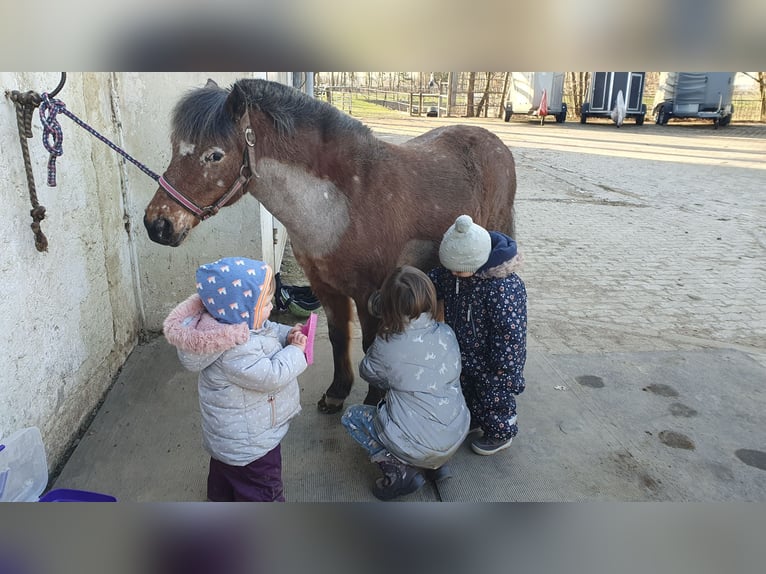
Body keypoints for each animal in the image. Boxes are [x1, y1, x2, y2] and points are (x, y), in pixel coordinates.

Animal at [144, 79, 520, 416]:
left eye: (214, 155)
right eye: (176, 147)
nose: (157, 224)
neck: (343, 202)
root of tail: (496, 143)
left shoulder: (370, 292)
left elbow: (370, 344)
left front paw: (374, 399)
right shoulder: (326, 288)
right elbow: (340, 337)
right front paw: (337, 394)